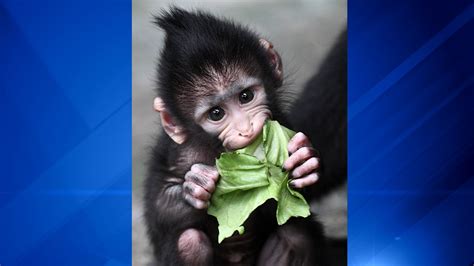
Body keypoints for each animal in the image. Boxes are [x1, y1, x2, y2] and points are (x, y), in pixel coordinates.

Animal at [144, 7, 322, 264]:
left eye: (246, 96)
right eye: (216, 113)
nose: (246, 129)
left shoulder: (281, 119)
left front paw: (304, 161)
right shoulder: (178, 152)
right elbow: (158, 213)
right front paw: (196, 185)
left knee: (295, 235)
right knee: (190, 243)